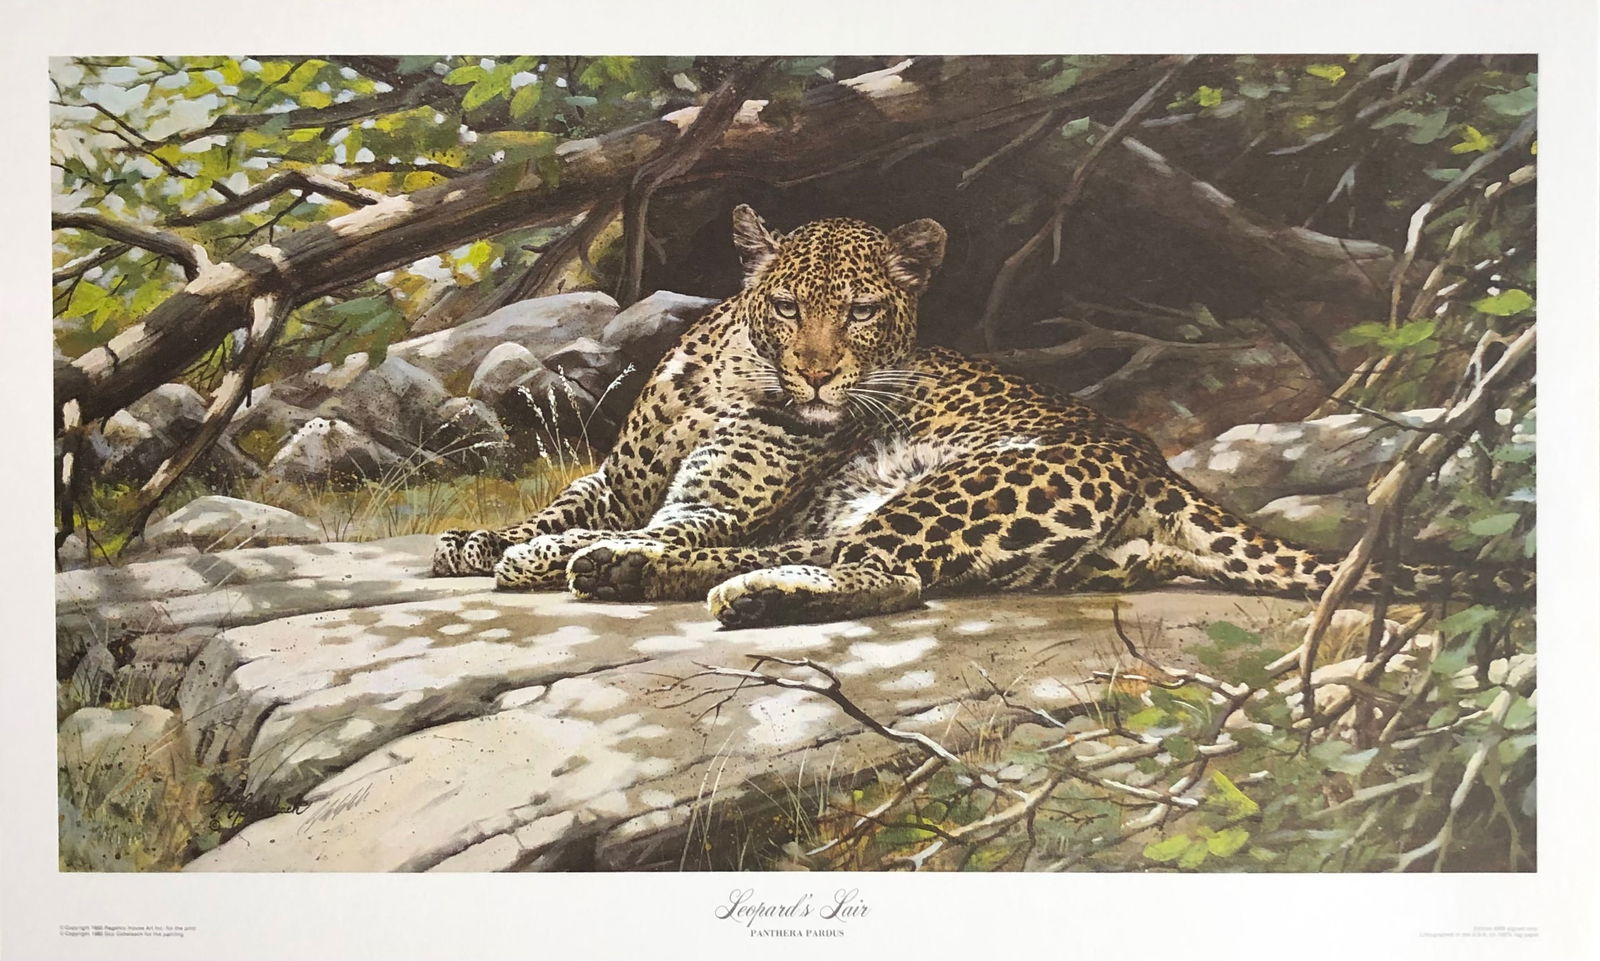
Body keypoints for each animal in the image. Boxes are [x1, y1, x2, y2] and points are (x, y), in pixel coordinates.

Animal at [433, 205, 1505, 629]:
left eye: (864, 311)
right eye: (788, 303)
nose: (815, 376)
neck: (733, 378)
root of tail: (1157, 463)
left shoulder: (714, 501)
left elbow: (671, 524)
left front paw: (542, 554)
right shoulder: (620, 477)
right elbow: (561, 505)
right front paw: (485, 543)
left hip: (970, 482)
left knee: (882, 573)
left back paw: (694, 585)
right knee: (844, 559)